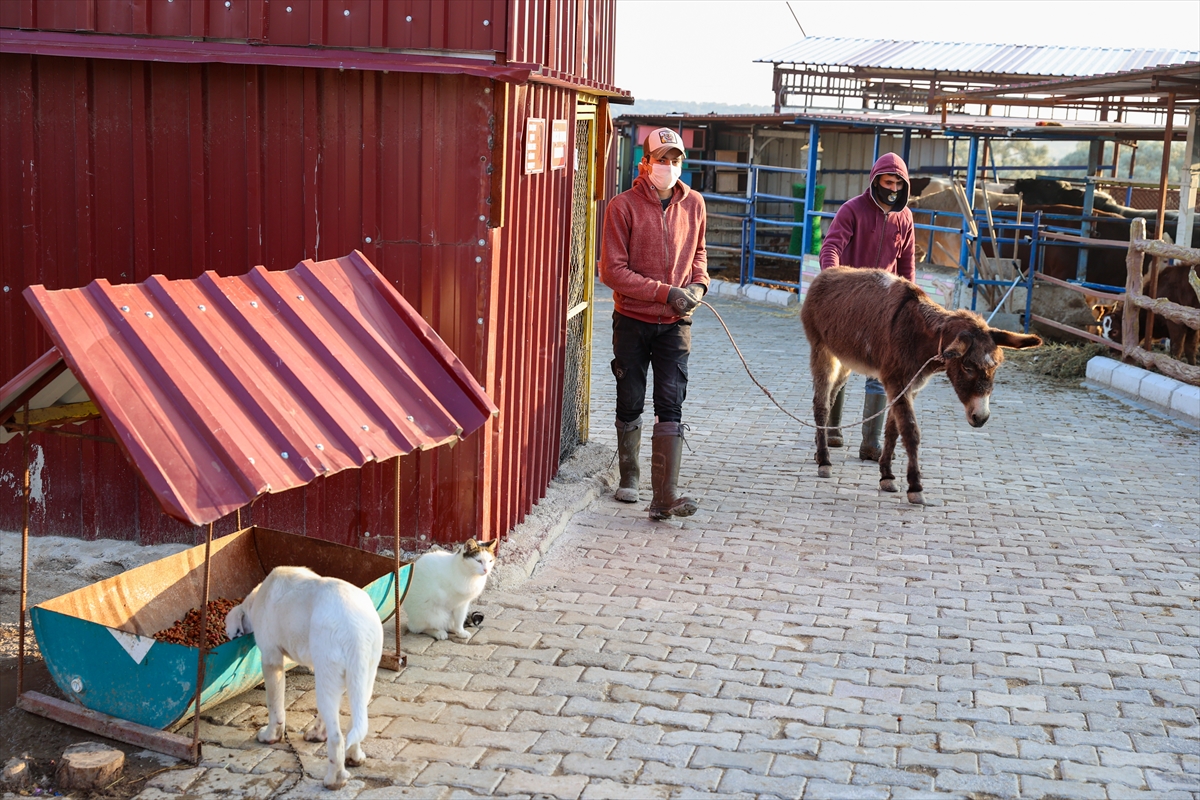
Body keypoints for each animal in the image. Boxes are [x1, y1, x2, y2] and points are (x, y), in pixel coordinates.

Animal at [226, 566, 381, 791]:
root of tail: (356, 629)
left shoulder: (271, 660)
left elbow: (275, 707)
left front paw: (270, 736)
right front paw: (317, 734)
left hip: (329, 678)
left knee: (337, 738)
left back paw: (334, 779)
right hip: (363, 677)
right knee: (355, 724)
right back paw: (354, 757)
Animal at [806, 272, 1041, 503]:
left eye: (996, 367)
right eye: (967, 366)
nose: (981, 417)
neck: (919, 336)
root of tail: (824, 275)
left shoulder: (910, 387)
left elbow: (894, 429)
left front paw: (887, 476)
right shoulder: (896, 382)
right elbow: (910, 430)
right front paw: (915, 487)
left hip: (845, 360)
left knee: (832, 396)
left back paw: (820, 447)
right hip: (822, 351)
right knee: (821, 404)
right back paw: (824, 461)